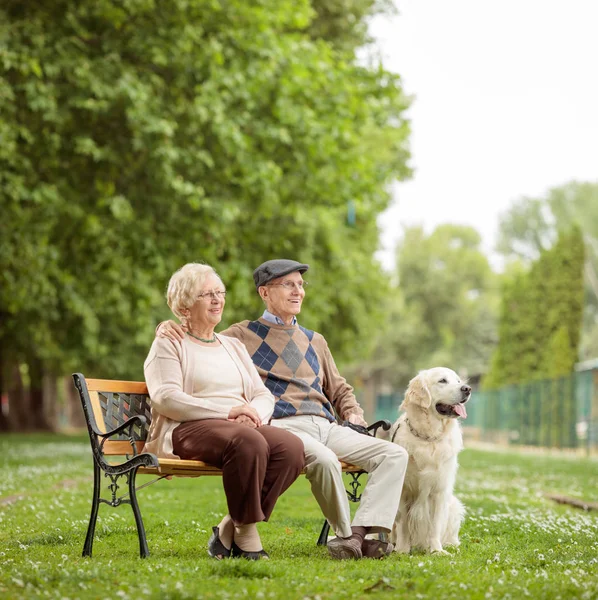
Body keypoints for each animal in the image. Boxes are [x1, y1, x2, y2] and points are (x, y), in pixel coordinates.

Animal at [380, 368, 474, 556]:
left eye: (458, 380)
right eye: (442, 381)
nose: (467, 389)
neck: (428, 438)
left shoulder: (439, 491)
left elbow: (435, 525)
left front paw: (436, 550)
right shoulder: (404, 490)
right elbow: (403, 525)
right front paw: (402, 549)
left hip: (453, 505)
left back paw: (450, 544)